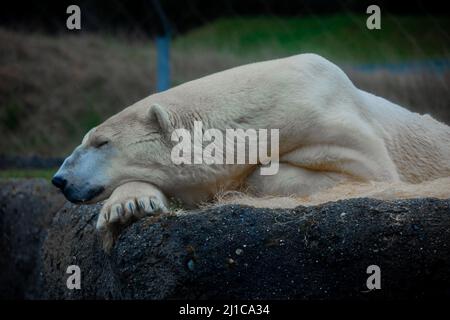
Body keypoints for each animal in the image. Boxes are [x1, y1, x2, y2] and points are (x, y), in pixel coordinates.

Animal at [51, 53, 450, 235]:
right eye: (90, 138)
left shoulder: (334, 123)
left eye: (101, 141)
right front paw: (128, 204)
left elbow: (371, 173)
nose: (59, 179)